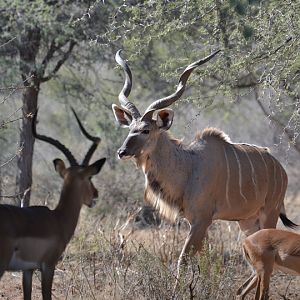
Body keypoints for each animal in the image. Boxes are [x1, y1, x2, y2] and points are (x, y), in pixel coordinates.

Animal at [111, 50, 296, 280]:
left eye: (146, 130)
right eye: (130, 129)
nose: (122, 152)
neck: (188, 166)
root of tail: (281, 170)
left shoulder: (202, 220)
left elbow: (183, 260)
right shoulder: (196, 221)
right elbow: (203, 261)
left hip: (269, 212)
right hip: (247, 221)